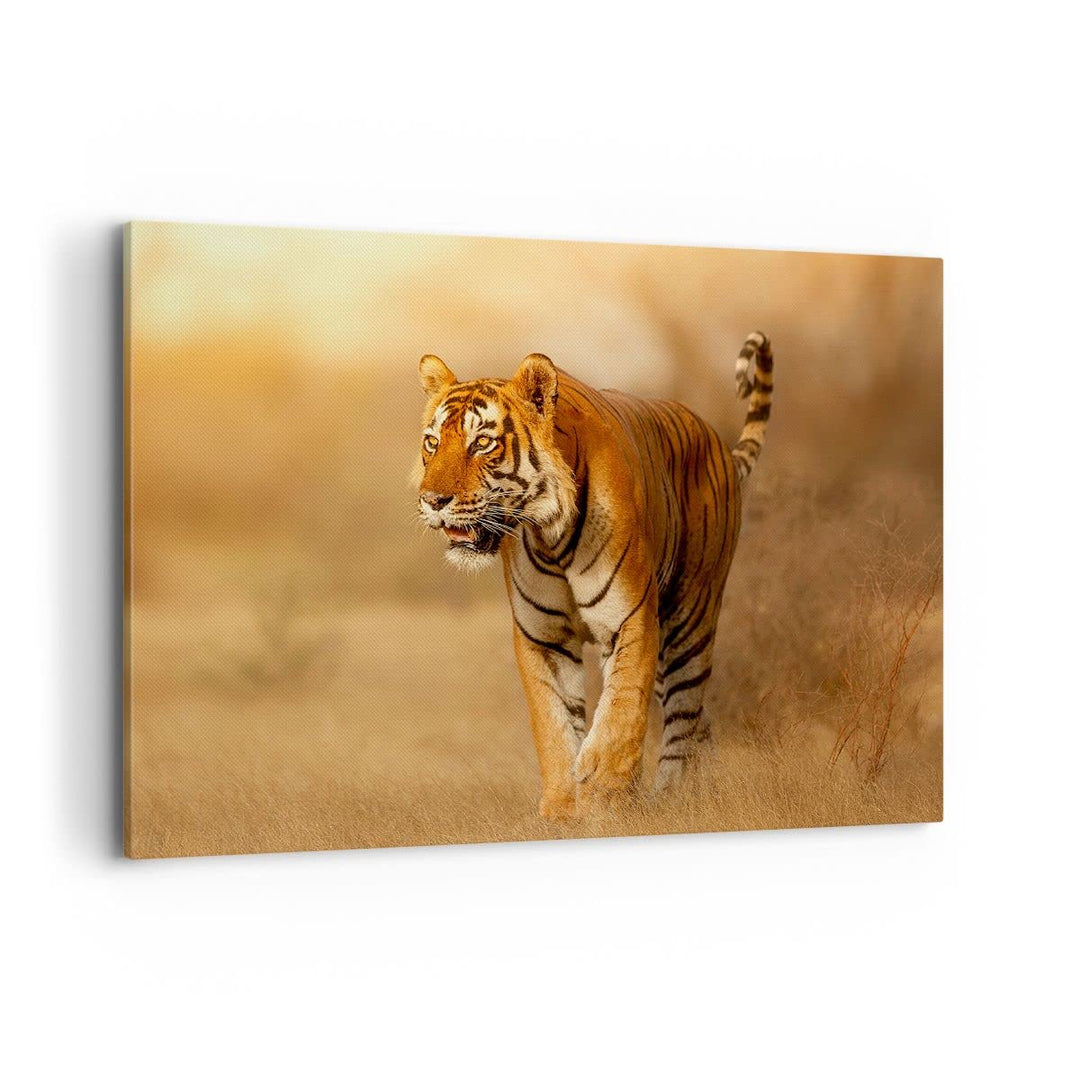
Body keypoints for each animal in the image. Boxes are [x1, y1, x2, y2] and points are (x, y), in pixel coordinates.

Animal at [414, 332, 774, 819]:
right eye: (432, 442)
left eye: (482, 443)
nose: (433, 500)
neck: (549, 532)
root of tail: (717, 440)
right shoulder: (543, 636)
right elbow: (553, 724)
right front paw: (563, 808)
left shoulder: (630, 618)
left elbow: (620, 710)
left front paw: (603, 792)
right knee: (700, 720)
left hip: (690, 619)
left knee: (684, 715)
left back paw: (674, 797)